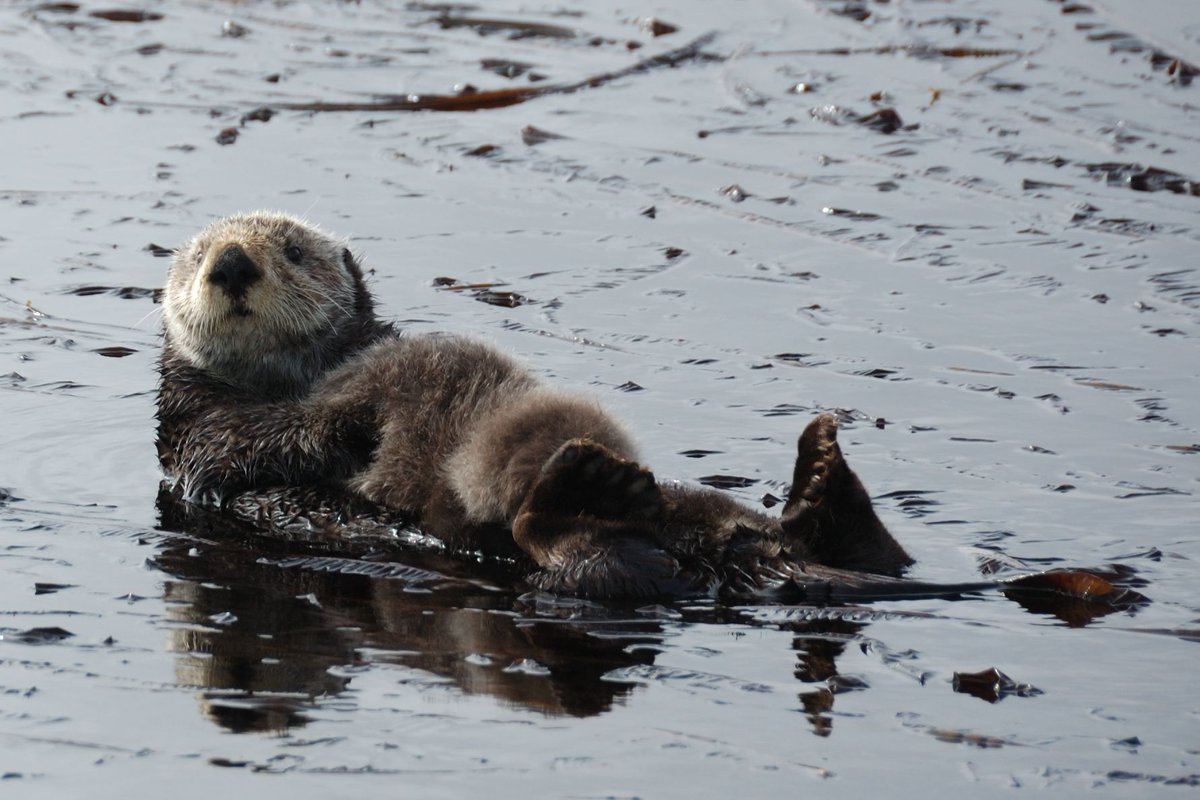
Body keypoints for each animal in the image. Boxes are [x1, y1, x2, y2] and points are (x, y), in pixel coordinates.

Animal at [157, 212, 913, 599]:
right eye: (196, 257)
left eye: (291, 250)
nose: (230, 264)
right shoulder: (198, 430)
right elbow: (251, 441)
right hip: (579, 557)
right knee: (577, 552)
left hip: (707, 511)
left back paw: (821, 471)